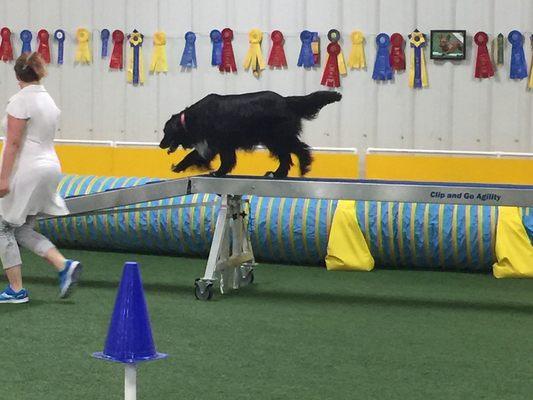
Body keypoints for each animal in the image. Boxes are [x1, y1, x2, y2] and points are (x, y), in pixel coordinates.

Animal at [159, 91, 340, 179]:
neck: (192, 118)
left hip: (278, 137)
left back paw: (303, 167)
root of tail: (286, 101)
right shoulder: (223, 145)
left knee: (299, 149)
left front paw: (178, 167)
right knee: (287, 157)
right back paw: (278, 173)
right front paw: (219, 171)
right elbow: (226, 160)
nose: (161, 145)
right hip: (275, 140)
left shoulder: (215, 144)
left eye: (165, 132)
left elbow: (193, 155)